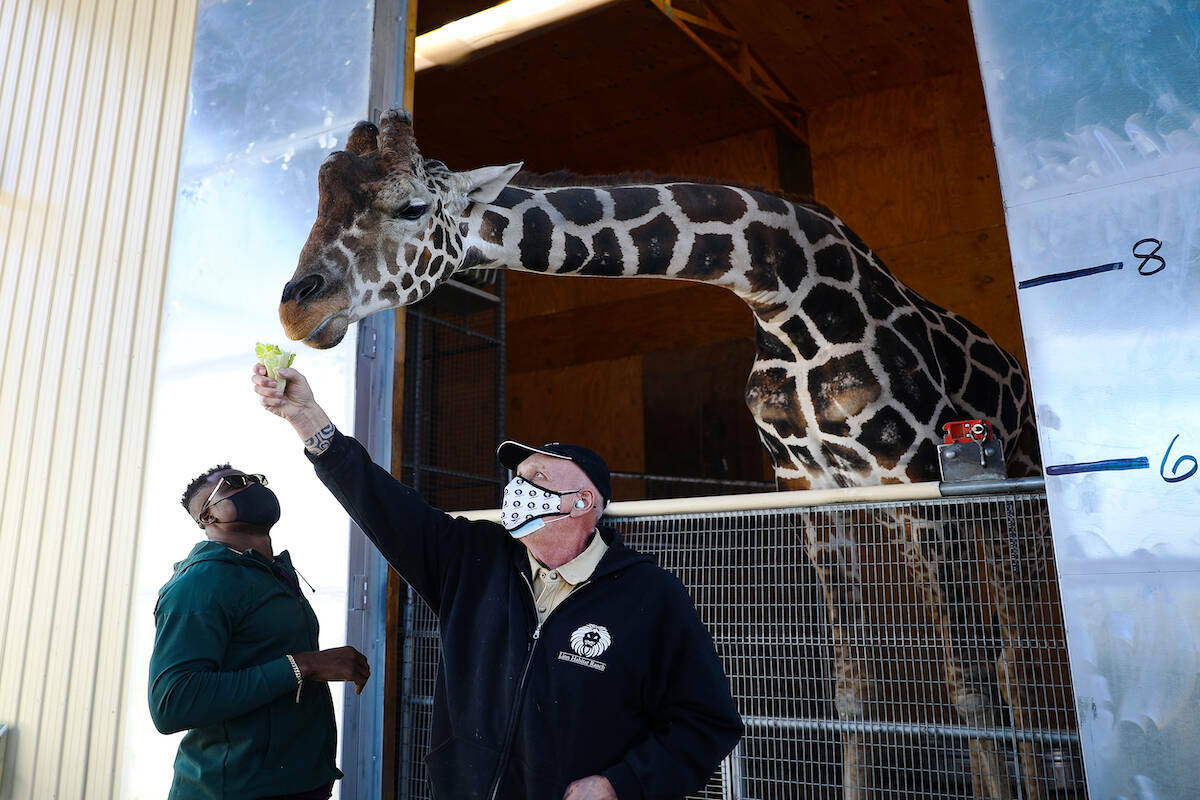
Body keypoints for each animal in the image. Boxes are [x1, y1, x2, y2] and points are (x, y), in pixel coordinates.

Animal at [278, 109, 1051, 796]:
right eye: (321, 200)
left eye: (412, 206)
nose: (295, 307)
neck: (782, 293)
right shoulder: (810, 490)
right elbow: (851, 686)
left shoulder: (920, 479)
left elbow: (967, 688)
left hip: (1003, 492)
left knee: (1013, 661)